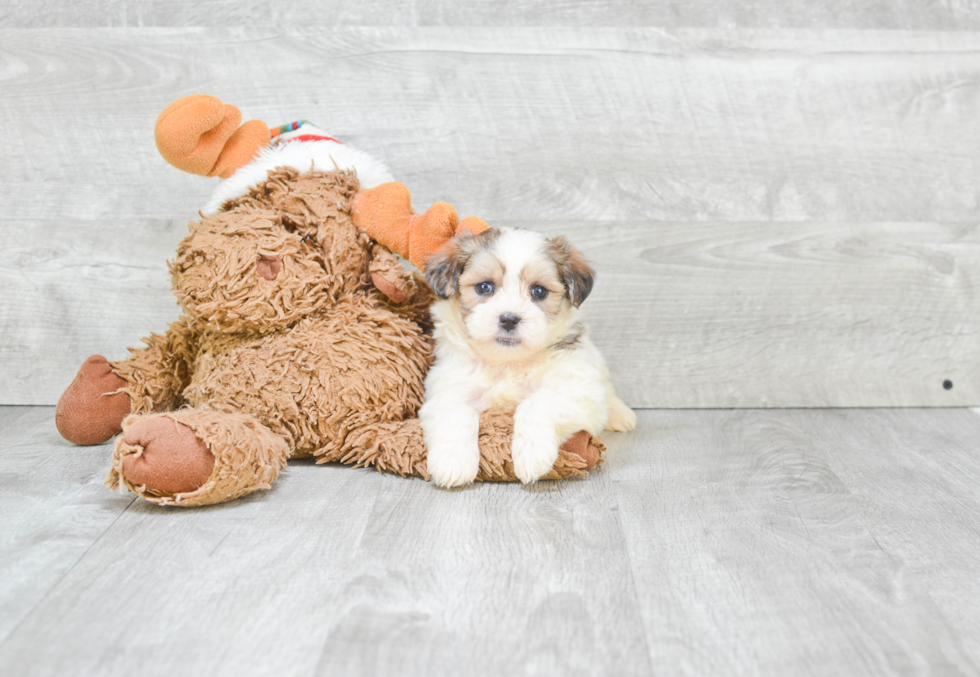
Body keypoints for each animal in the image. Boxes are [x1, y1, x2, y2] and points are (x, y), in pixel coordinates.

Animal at [420, 227, 636, 486]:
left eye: (539, 291)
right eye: (484, 287)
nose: (509, 319)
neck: (507, 362)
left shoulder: (578, 389)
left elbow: (537, 403)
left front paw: (532, 456)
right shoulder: (448, 386)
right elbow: (455, 413)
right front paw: (452, 462)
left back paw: (621, 415)